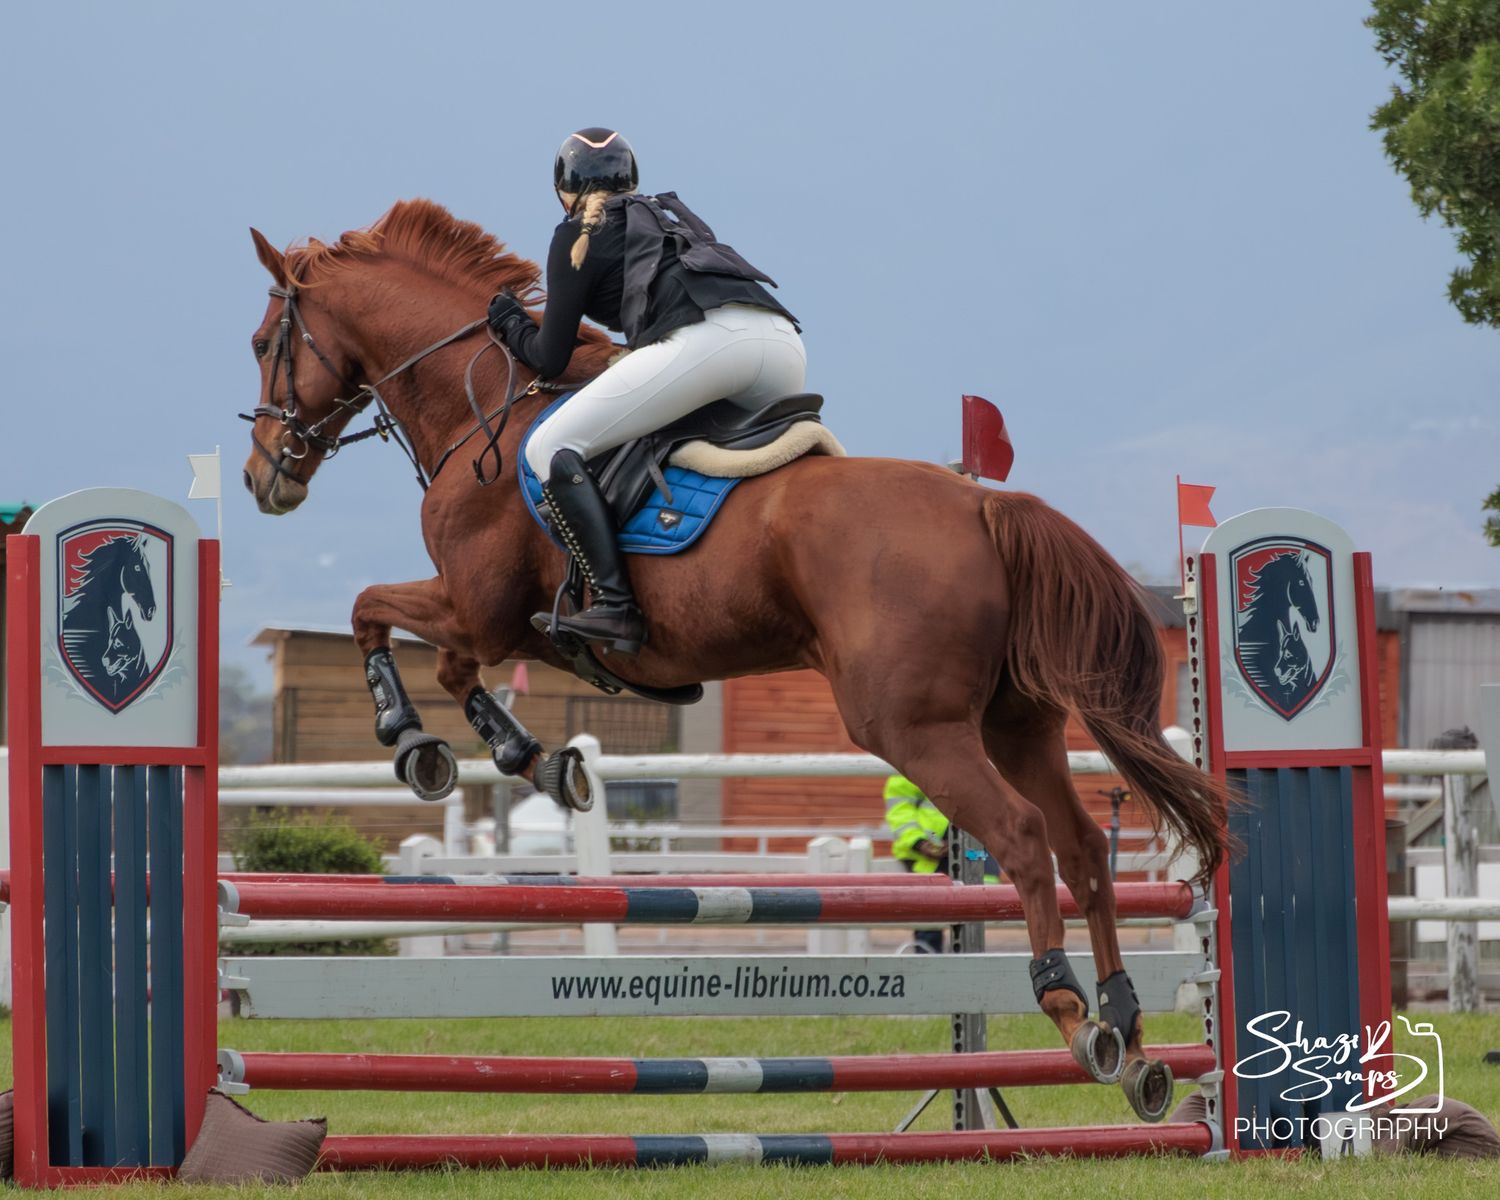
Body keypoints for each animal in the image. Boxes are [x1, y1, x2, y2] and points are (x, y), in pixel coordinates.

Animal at [240, 199, 1227, 1123]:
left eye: (261, 343)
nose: (262, 478)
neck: (481, 403)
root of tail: (984, 506)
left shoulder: (479, 611)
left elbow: (372, 613)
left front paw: (412, 741)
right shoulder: (503, 630)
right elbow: (446, 668)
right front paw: (539, 763)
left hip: (913, 726)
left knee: (1023, 839)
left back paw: (1072, 1013)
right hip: (1014, 725)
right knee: (1083, 851)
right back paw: (1132, 1037)